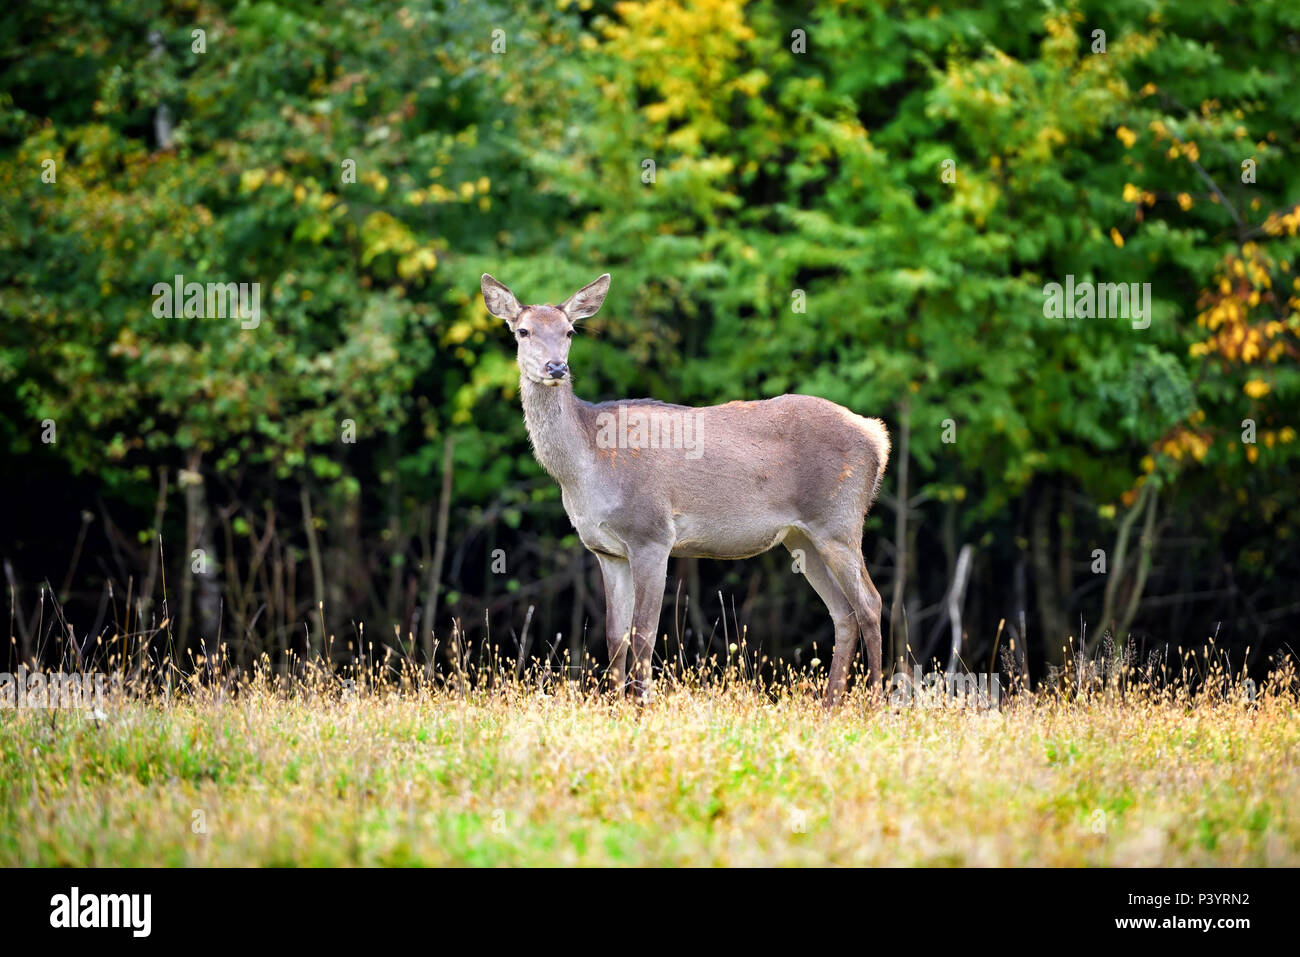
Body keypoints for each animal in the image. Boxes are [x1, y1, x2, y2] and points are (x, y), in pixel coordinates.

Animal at [483, 273, 889, 707]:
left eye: (569, 331)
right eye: (523, 331)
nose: (556, 366)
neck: (586, 469)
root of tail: (877, 437)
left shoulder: (652, 534)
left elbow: (644, 634)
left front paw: (642, 707)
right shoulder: (606, 551)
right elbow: (614, 637)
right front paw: (617, 708)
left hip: (839, 521)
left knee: (870, 603)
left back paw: (874, 703)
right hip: (801, 536)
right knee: (842, 611)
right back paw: (830, 707)